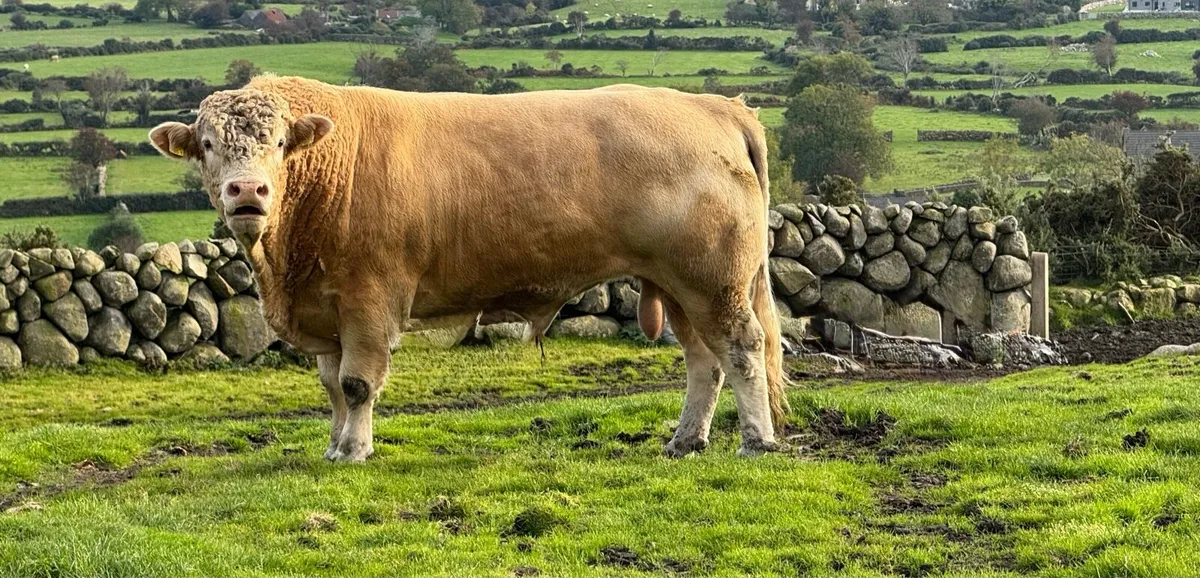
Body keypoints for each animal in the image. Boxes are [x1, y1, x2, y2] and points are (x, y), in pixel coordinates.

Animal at [148, 75, 789, 461]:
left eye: (279, 143)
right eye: (208, 144)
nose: (247, 191)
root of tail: (711, 105)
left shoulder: (369, 301)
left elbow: (357, 385)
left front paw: (354, 451)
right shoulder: (327, 309)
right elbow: (332, 386)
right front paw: (334, 445)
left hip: (714, 279)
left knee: (741, 348)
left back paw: (756, 440)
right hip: (679, 284)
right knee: (703, 359)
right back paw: (686, 439)